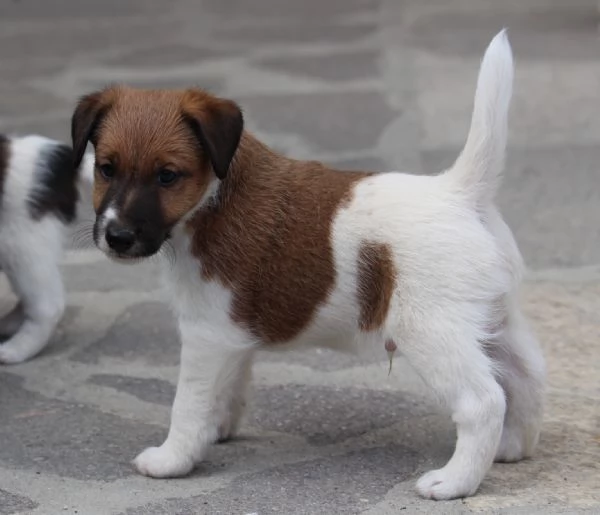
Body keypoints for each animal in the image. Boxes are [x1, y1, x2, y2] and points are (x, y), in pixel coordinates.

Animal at [69, 31, 544, 500]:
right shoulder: (230, 336)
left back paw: (454, 481)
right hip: (496, 324)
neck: (215, 196)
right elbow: (229, 387)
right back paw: (511, 448)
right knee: (526, 380)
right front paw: (217, 430)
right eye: (106, 169)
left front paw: (173, 458)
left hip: (431, 332)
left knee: (484, 402)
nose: (117, 237)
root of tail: (459, 193)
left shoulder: (206, 335)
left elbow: (188, 403)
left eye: (167, 176)